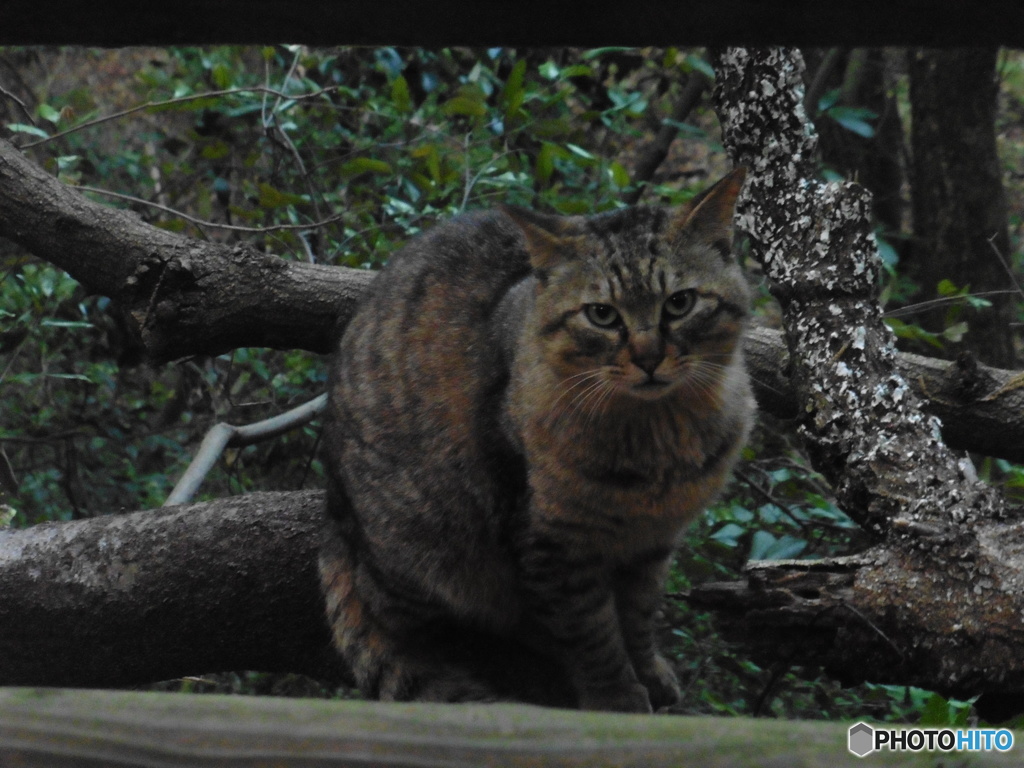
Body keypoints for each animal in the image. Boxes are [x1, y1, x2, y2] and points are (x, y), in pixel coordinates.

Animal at [323, 167, 757, 716]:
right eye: (602, 315)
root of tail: (335, 512)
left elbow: (638, 618)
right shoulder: (550, 543)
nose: (648, 358)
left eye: (679, 303)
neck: (657, 441)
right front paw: (617, 698)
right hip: (426, 543)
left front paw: (650, 672)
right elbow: (592, 635)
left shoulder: (652, 544)